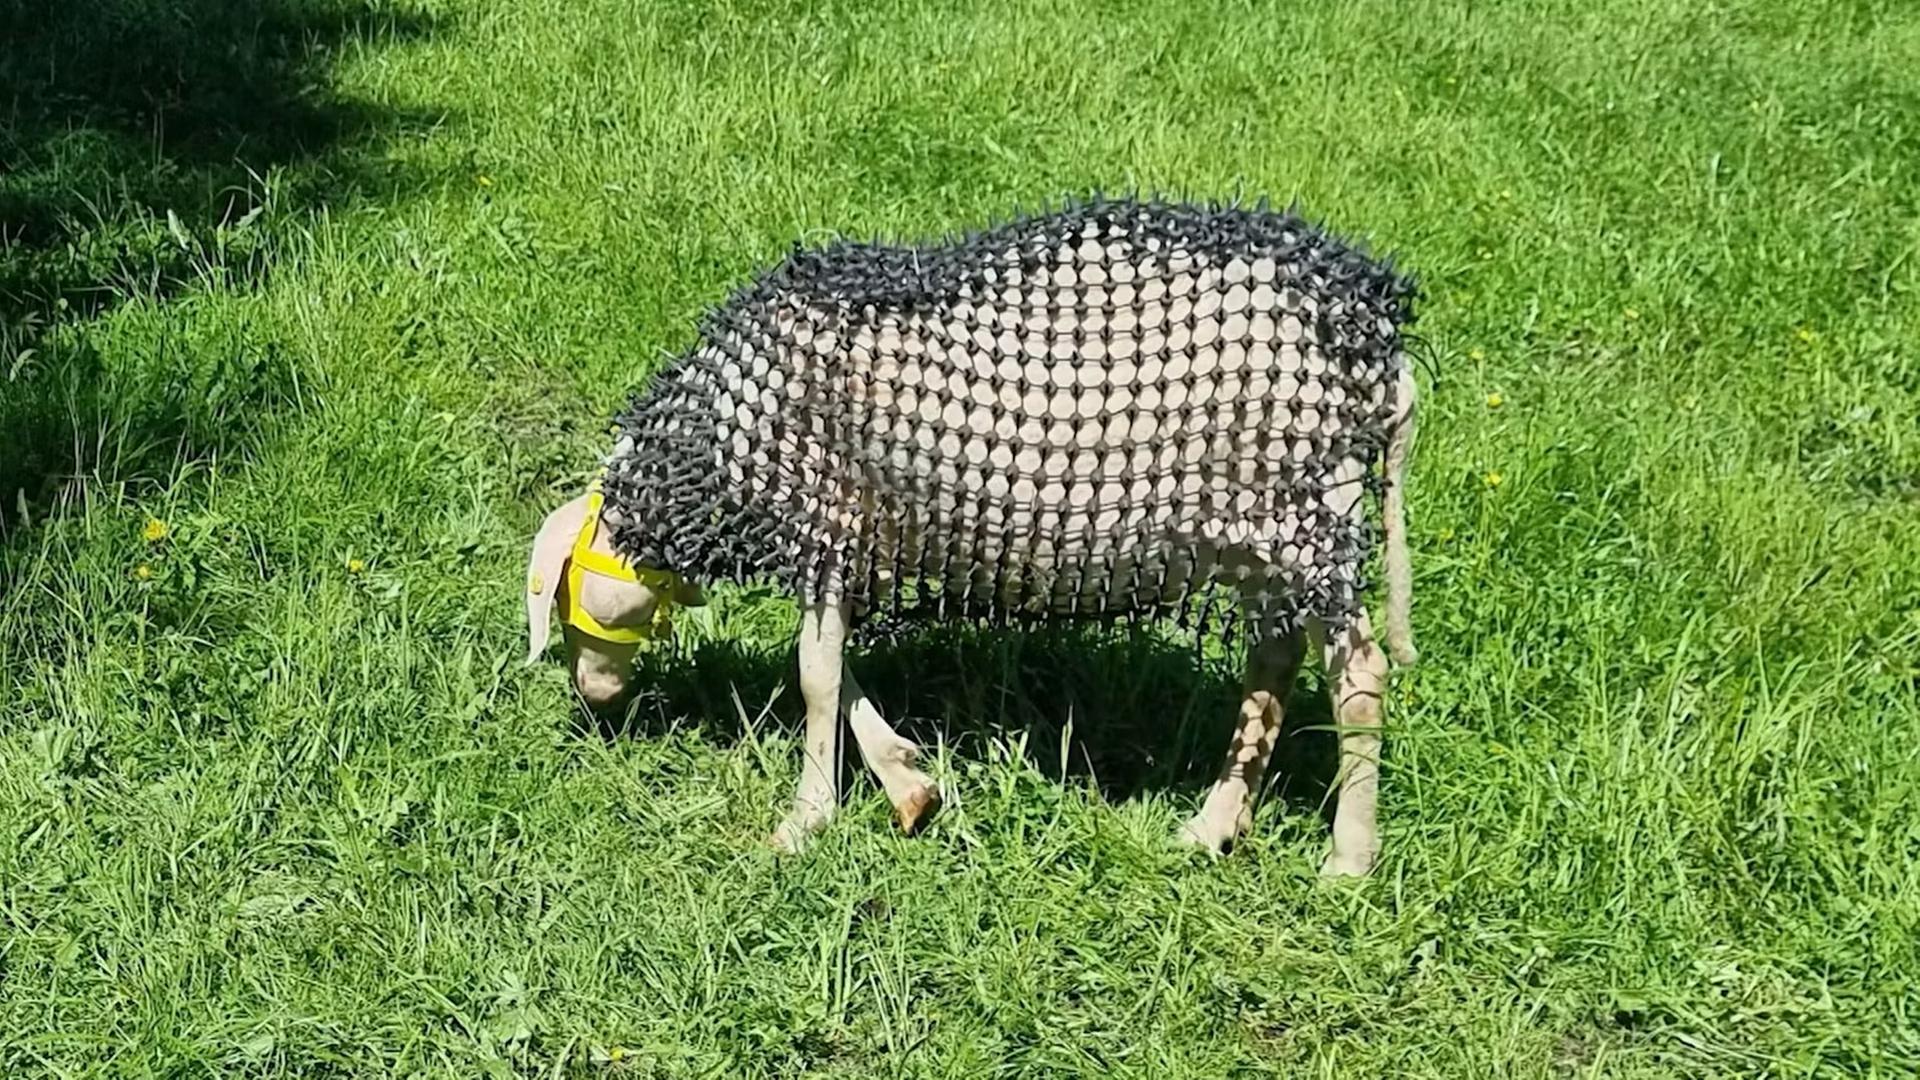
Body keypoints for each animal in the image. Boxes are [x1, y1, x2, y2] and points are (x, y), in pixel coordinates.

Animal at [525, 196, 1418, 875]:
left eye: (562, 594)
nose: (593, 699)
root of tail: (1376, 348)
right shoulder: (855, 543)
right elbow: (836, 670)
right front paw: (908, 786)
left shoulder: (824, 524)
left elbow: (815, 677)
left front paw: (805, 821)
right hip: (1262, 534)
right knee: (1274, 658)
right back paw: (1213, 826)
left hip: (1301, 514)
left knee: (1358, 670)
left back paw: (1348, 860)